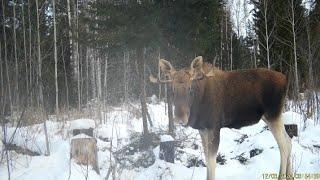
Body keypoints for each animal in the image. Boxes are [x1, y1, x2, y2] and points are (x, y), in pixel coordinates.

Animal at [150, 56, 292, 180]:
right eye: (172, 89)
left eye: (190, 88)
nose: (180, 118)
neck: (198, 104)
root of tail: (285, 79)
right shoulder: (203, 129)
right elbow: (207, 159)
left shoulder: (214, 127)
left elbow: (212, 162)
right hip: (270, 117)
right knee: (289, 140)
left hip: (273, 114)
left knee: (284, 145)